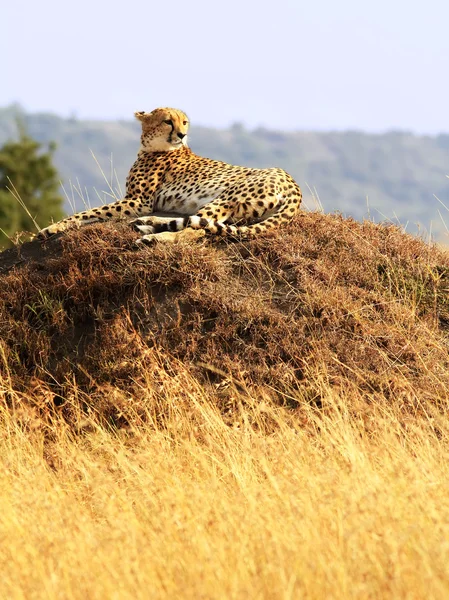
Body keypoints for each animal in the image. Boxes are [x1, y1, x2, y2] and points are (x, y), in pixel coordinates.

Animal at [38, 108, 302, 241]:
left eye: (185, 122)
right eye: (167, 121)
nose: (182, 134)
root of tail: (291, 181)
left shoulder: (138, 201)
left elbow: (87, 212)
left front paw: (50, 228)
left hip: (226, 197)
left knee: (194, 228)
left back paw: (152, 234)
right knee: (200, 223)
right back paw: (147, 227)